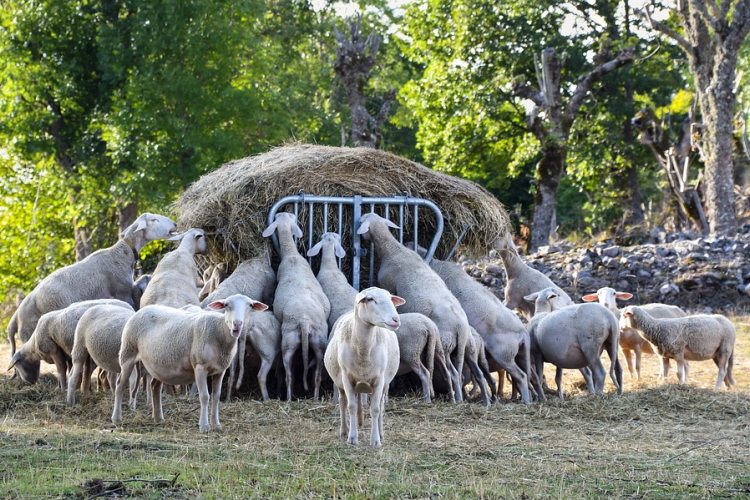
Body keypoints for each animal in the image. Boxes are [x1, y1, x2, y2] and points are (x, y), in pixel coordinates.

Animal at [8, 213, 176, 354]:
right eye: (154, 219)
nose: (174, 223)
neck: (121, 253)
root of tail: (15, 317)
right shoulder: (122, 293)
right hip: (32, 331)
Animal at [113, 294, 272, 432]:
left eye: (250, 306)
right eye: (226, 305)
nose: (237, 324)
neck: (219, 331)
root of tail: (140, 310)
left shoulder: (220, 371)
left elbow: (216, 397)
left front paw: (216, 424)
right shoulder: (200, 366)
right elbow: (205, 396)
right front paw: (204, 426)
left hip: (159, 363)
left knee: (154, 387)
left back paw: (158, 418)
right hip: (128, 352)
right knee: (120, 385)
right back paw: (116, 418)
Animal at [262, 213, 330, 400]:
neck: (291, 255)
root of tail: (304, 320)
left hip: (296, 343)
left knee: (293, 375)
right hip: (313, 342)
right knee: (311, 375)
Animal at [324, 288, 406, 448]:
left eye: (391, 298)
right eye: (371, 299)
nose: (396, 319)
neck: (363, 350)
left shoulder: (379, 380)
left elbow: (375, 409)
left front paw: (375, 440)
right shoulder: (347, 378)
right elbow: (351, 407)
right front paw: (352, 438)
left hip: (384, 384)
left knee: (380, 405)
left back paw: (380, 432)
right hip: (340, 383)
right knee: (343, 403)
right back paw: (344, 431)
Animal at [358, 213, 470, 404]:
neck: (392, 249)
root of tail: (461, 327)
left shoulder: (388, 285)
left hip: (443, 343)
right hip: (450, 348)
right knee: (456, 374)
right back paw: (457, 399)